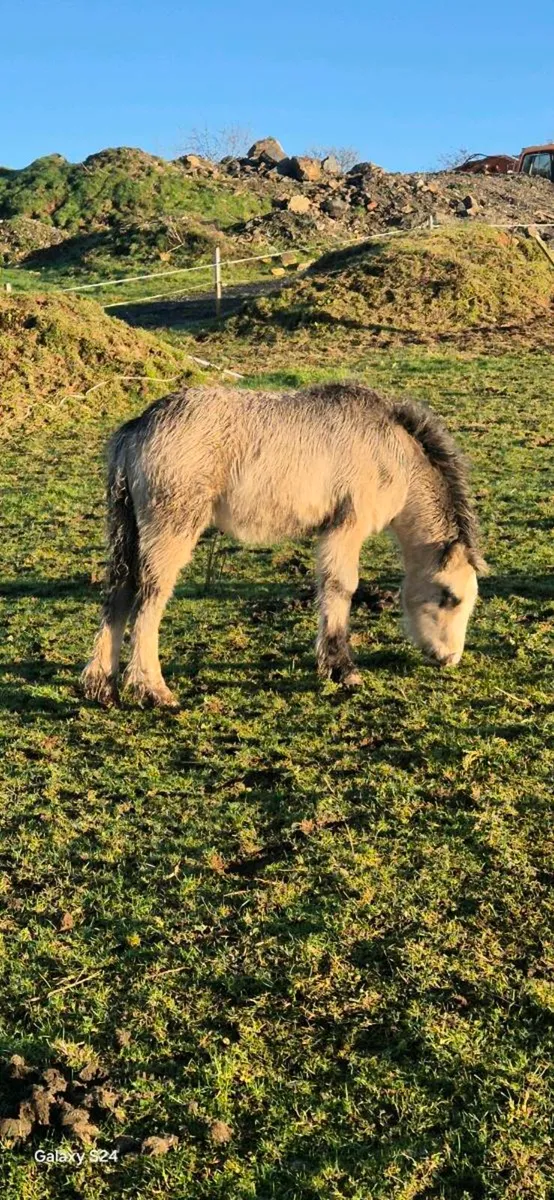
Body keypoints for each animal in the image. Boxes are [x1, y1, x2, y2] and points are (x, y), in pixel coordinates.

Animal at [81, 381, 487, 708]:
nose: (450, 658)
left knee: (119, 591)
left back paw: (101, 686)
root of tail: (138, 427)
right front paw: (343, 670)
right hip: (170, 528)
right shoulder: (346, 527)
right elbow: (341, 588)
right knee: (149, 598)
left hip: (128, 529)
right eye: (451, 597)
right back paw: (152, 689)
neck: (388, 447)